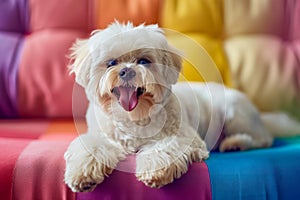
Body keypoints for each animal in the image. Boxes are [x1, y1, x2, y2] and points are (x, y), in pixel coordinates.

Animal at [63, 21, 298, 192]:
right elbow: (92, 146)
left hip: (234, 114)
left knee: (263, 139)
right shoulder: (102, 135)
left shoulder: (186, 138)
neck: (135, 118)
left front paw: (154, 170)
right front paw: (83, 173)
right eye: (111, 63)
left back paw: (236, 143)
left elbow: (165, 146)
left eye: (143, 61)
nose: (126, 70)